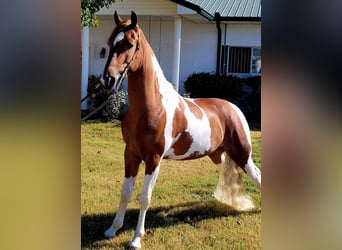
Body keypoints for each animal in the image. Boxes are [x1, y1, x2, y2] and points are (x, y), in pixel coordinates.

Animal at [99, 11, 262, 248]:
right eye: (110, 42)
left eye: (129, 43)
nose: (107, 80)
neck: (152, 107)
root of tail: (233, 108)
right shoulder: (130, 154)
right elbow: (125, 193)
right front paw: (113, 229)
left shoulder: (153, 159)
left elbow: (144, 198)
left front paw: (136, 239)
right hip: (218, 155)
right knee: (227, 174)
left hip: (243, 154)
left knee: (257, 175)